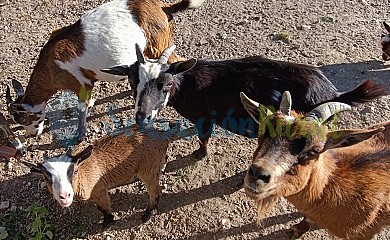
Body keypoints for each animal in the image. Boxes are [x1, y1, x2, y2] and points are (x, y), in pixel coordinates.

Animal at [6, 0, 204, 141]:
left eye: (24, 119)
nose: (32, 135)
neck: (50, 66)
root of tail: (164, 8)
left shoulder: (80, 83)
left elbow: (81, 108)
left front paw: (79, 136)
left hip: (159, 46)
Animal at [27, 124, 197, 228]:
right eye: (46, 177)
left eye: (74, 171)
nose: (64, 196)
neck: (84, 174)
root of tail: (162, 135)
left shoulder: (99, 191)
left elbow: (103, 207)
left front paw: (108, 222)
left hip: (147, 169)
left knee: (155, 191)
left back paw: (148, 213)